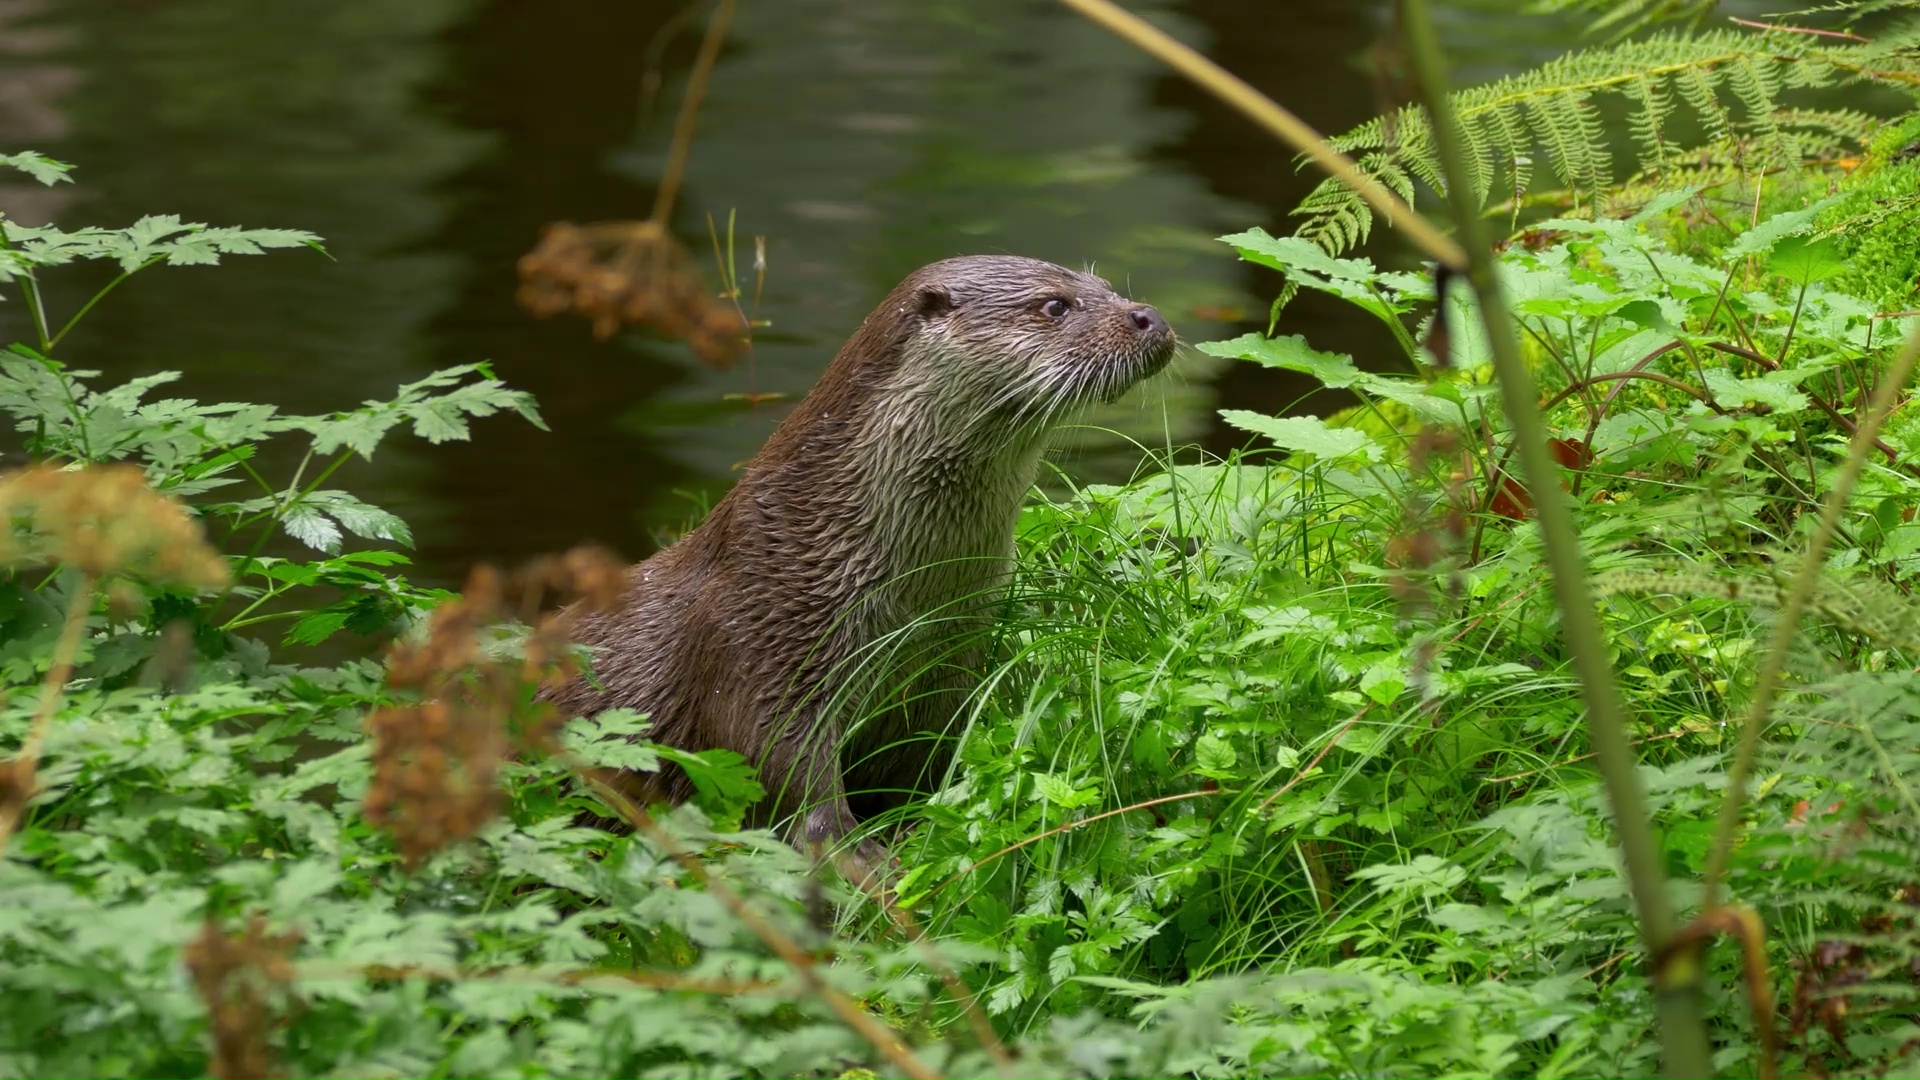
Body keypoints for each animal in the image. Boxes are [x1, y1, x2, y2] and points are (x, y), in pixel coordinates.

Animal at [548, 255, 1175, 869]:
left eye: (1105, 285)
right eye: (1054, 305)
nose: (1148, 315)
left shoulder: (946, 665)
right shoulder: (759, 641)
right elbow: (782, 771)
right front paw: (858, 855)